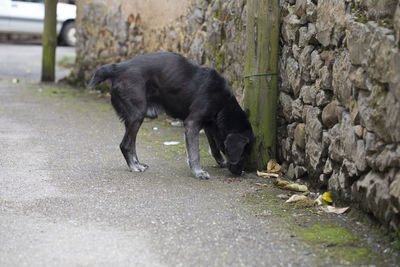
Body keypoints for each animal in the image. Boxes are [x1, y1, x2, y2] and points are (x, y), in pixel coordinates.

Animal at [89, 52, 255, 180]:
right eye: (243, 154)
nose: (240, 173)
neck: (222, 103)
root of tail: (119, 67)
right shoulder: (192, 123)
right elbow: (195, 153)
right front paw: (198, 172)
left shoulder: (208, 125)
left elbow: (214, 147)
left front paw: (220, 161)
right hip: (137, 115)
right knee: (125, 145)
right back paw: (133, 167)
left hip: (135, 118)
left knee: (131, 144)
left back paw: (137, 163)